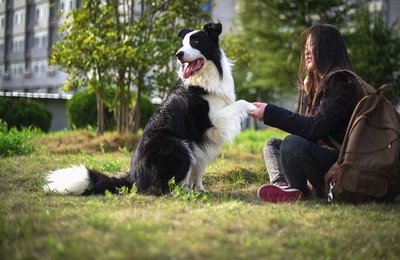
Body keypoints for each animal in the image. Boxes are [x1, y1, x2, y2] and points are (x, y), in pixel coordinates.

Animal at [44, 23, 256, 196]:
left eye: (195, 42)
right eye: (182, 44)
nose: (178, 55)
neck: (205, 76)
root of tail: (132, 177)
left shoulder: (204, 143)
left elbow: (199, 170)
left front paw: (201, 189)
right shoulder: (212, 121)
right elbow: (241, 102)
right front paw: (254, 106)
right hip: (178, 145)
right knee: (165, 187)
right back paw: (184, 193)